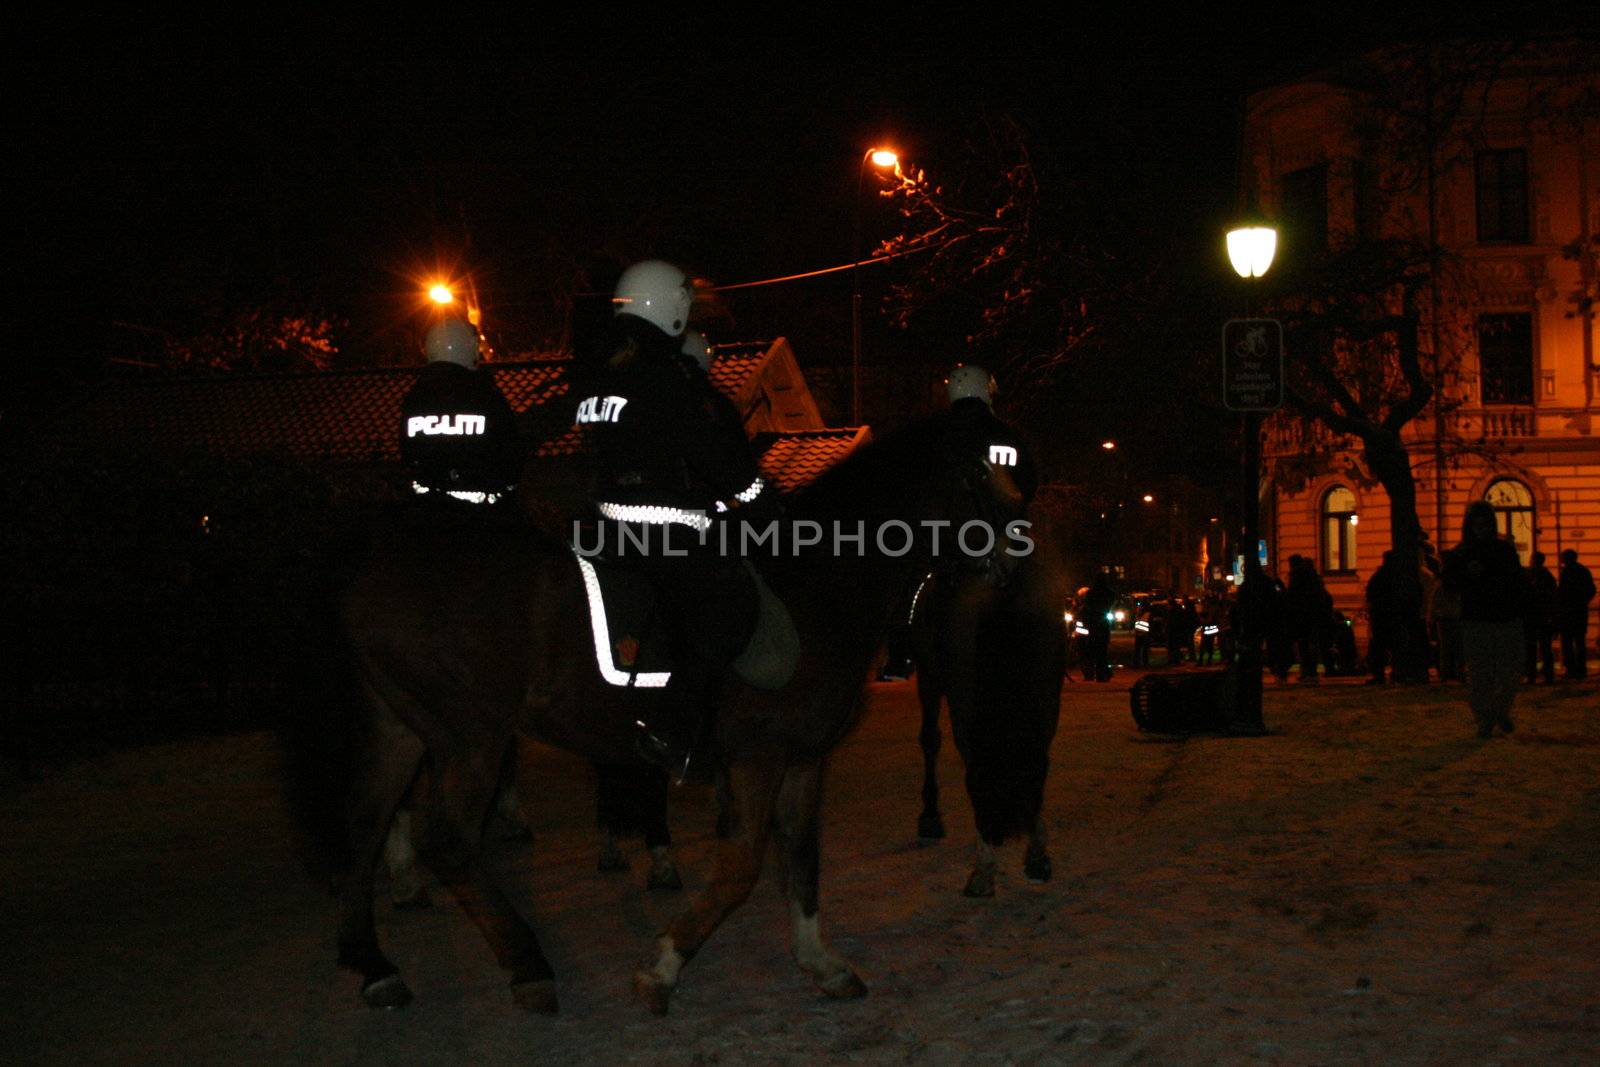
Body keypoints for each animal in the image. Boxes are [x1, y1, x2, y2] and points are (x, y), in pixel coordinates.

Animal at [334, 412, 1024, 1017]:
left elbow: (803, 858)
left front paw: (821, 963)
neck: (817, 584)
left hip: (402, 730)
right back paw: (528, 969)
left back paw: (375, 969)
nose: (1014, 549)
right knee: (449, 843)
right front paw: (662, 967)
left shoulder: (802, 760)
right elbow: (743, 866)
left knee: (363, 830)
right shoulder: (758, 758)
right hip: (471, 735)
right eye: (980, 473)